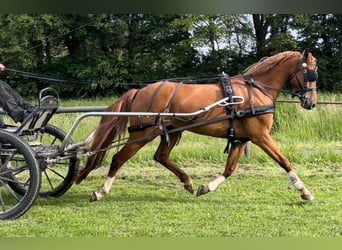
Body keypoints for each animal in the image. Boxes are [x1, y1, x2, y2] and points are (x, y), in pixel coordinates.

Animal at [75, 49, 318, 202]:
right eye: (310, 72)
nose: (311, 102)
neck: (256, 90)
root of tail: (139, 90)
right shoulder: (261, 136)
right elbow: (284, 161)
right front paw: (305, 191)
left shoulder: (241, 139)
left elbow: (229, 169)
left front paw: (206, 187)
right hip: (143, 133)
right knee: (118, 158)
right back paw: (101, 191)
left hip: (171, 132)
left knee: (160, 156)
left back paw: (188, 181)